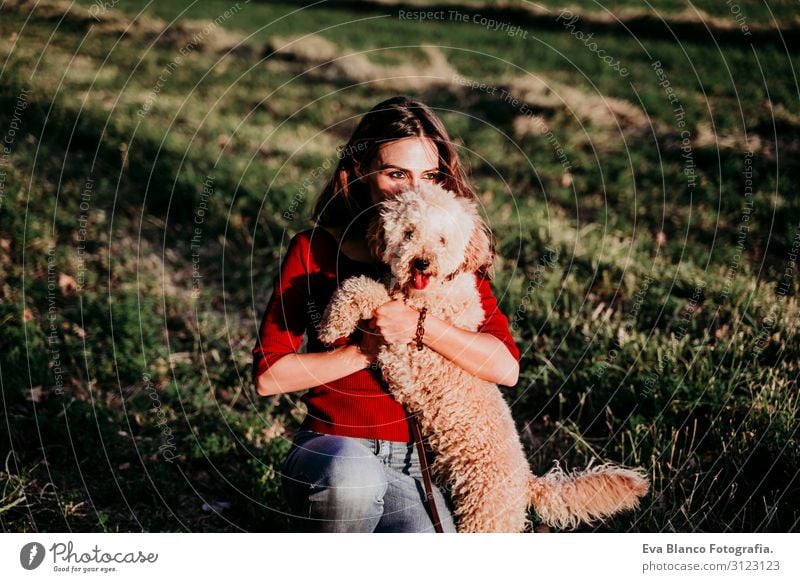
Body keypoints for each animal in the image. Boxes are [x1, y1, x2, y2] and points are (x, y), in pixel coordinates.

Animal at [316, 184, 648, 532]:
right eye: (408, 232)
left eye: (442, 239)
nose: (421, 263)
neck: (430, 293)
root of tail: (526, 481)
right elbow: (359, 284)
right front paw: (334, 319)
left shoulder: (405, 334)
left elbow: (366, 290)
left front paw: (331, 323)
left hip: (485, 513)